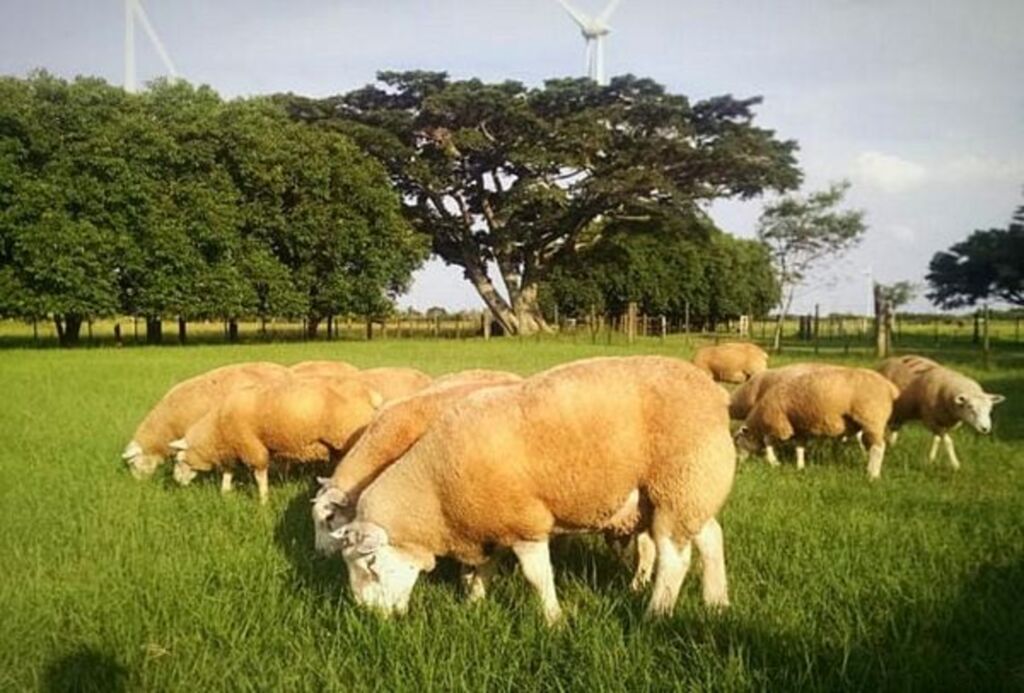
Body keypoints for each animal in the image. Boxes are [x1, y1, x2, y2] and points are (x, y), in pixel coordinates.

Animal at [171, 372, 385, 503]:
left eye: (179, 460)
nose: (176, 483)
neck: (217, 430)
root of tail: (370, 394)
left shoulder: (252, 447)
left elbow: (259, 476)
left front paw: (263, 501)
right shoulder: (233, 449)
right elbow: (228, 473)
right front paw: (225, 493)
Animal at [331, 356, 741, 622]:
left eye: (369, 564)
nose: (368, 617)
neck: (436, 492)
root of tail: (715, 394)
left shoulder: (524, 524)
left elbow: (537, 577)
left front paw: (553, 620)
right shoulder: (490, 524)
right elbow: (484, 567)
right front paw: (475, 604)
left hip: (679, 484)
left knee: (675, 559)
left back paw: (656, 613)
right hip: (696, 487)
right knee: (712, 538)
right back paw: (717, 602)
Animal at [733, 368, 901, 474]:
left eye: (738, 442)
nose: (738, 463)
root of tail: (890, 387)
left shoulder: (779, 423)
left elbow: (768, 441)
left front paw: (773, 462)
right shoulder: (798, 428)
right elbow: (799, 448)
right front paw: (800, 466)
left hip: (871, 418)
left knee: (878, 448)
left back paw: (872, 474)